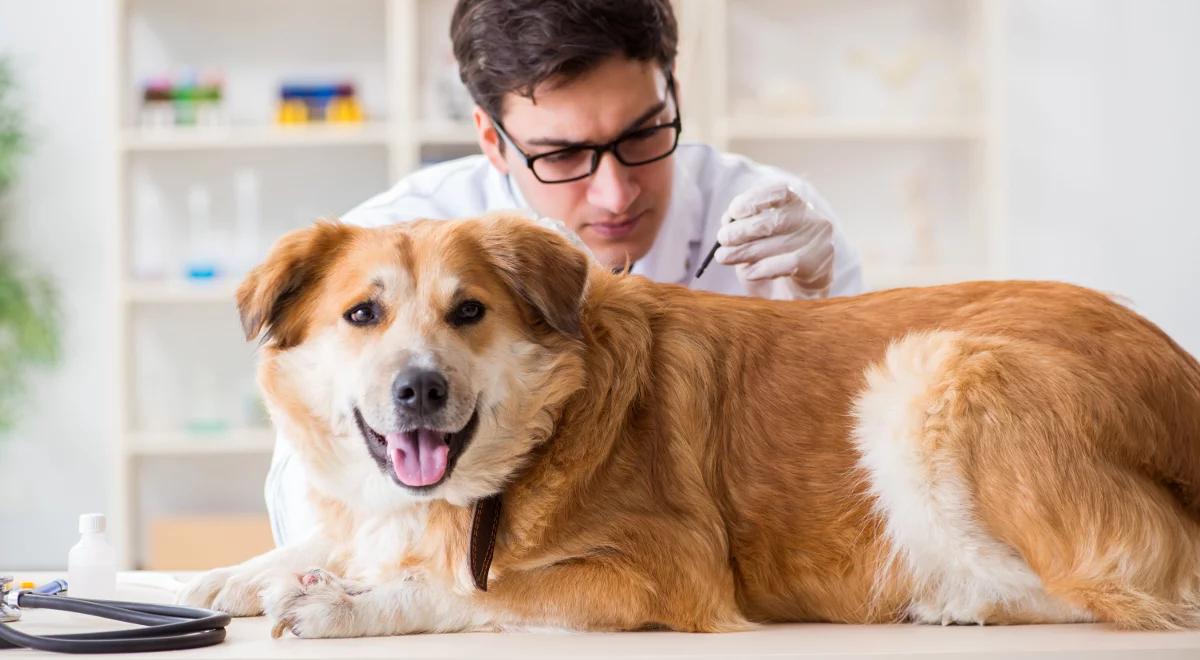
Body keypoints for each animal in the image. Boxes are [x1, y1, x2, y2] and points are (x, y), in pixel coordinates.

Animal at [180, 213, 1200, 638]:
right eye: (363, 314)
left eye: (468, 312)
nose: (419, 392)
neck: (534, 441)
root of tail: (1179, 373)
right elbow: (349, 534)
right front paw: (245, 573)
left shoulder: (667, 571)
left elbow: (475, 589)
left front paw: (350, 601)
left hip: (932, 366)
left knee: (1129, 587)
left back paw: (956, 597)